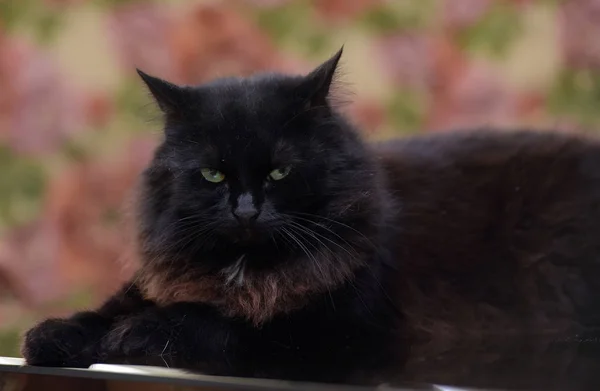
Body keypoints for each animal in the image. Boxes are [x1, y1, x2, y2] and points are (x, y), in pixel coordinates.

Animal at [22, 48, 600, 382]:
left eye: (280, 172)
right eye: (212, 175)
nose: (246, 210)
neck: (246, 270)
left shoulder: (341, 332)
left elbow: (216, 324)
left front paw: (138, 334)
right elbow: (99, 313)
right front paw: (53, 336)